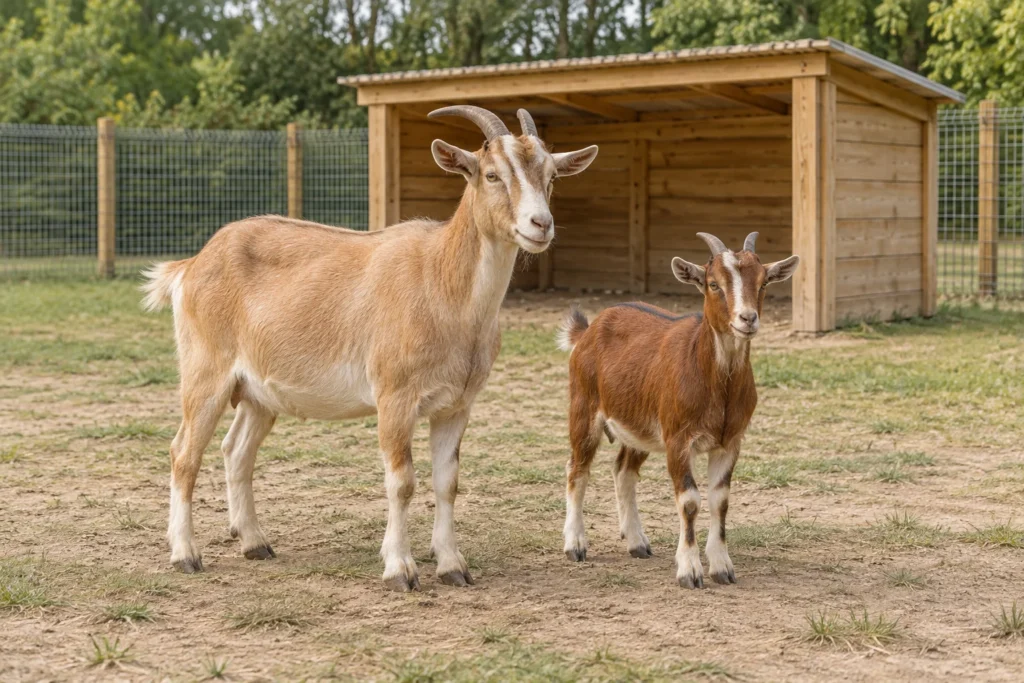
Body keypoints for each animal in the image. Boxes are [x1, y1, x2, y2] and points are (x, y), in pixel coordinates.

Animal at [142, 106, 598, 591]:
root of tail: (191, 265)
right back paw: (185, 554)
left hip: (258, 394)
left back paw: (255, 543)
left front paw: (453, 566)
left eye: (551, 176)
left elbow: (447, 482)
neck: (442, 284)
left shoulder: (456, 405)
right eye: (491, 174)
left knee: (237, 452)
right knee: (184, 453)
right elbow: (402, 482)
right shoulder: (394, 397)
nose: (540, 224)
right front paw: (400, 569)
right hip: (205, 374)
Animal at [556, 232, 799, 587]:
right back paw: (575, 545)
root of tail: (588, 330)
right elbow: (690, 500)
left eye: (764, 282)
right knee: (577, 469)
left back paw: (637, 542)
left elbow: (720, 500)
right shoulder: (678, 439)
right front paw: (689, 570)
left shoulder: (730, 441)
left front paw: (722, 567)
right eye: (713, 284)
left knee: (623, 471)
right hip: (584, 408)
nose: (747, 319)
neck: (717, 385)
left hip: (639, 427)